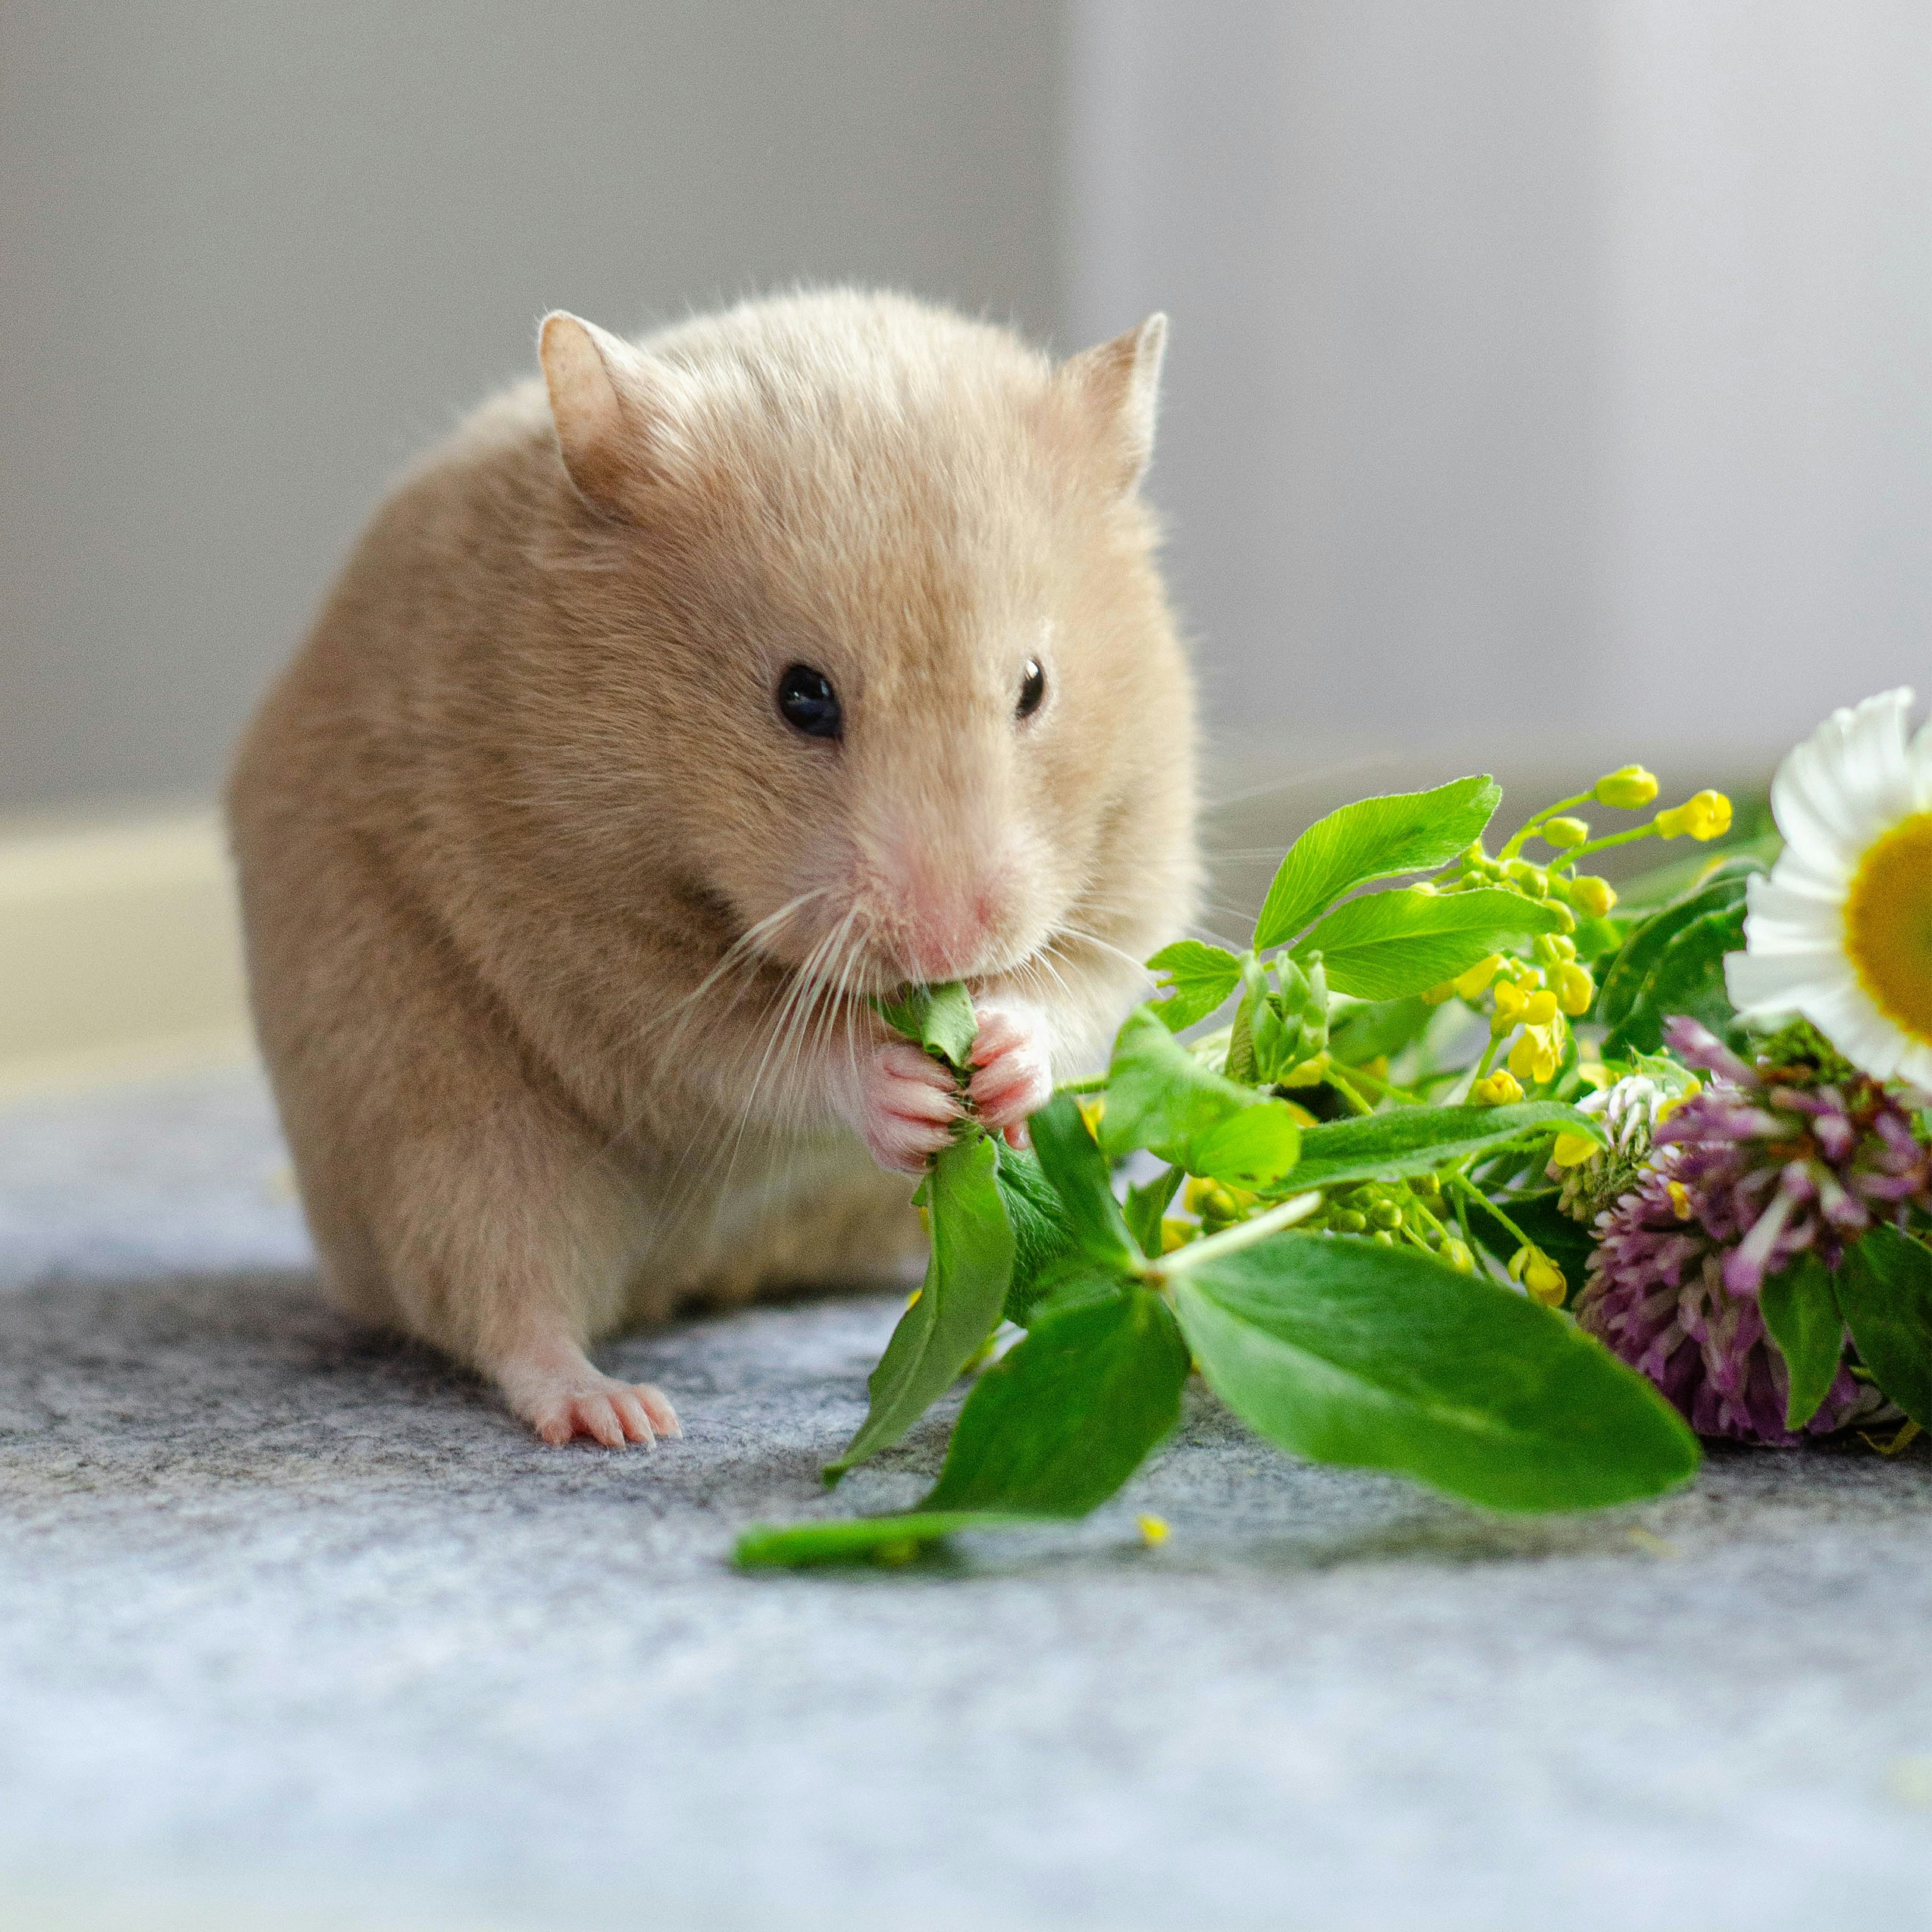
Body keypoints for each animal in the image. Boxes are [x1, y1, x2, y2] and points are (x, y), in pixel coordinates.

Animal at [227, 289, 1198, 1448]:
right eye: (800, 696)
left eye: (1036, 686)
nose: (947, 945)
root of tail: (697, 1279)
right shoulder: (608, 962)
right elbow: (755, 1054)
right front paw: (907, 1089)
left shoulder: (1138, 874)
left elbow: (1081, 991)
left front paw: (999, 1054)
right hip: (438, 1117)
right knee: (502, 1295)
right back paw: (619, 1414)